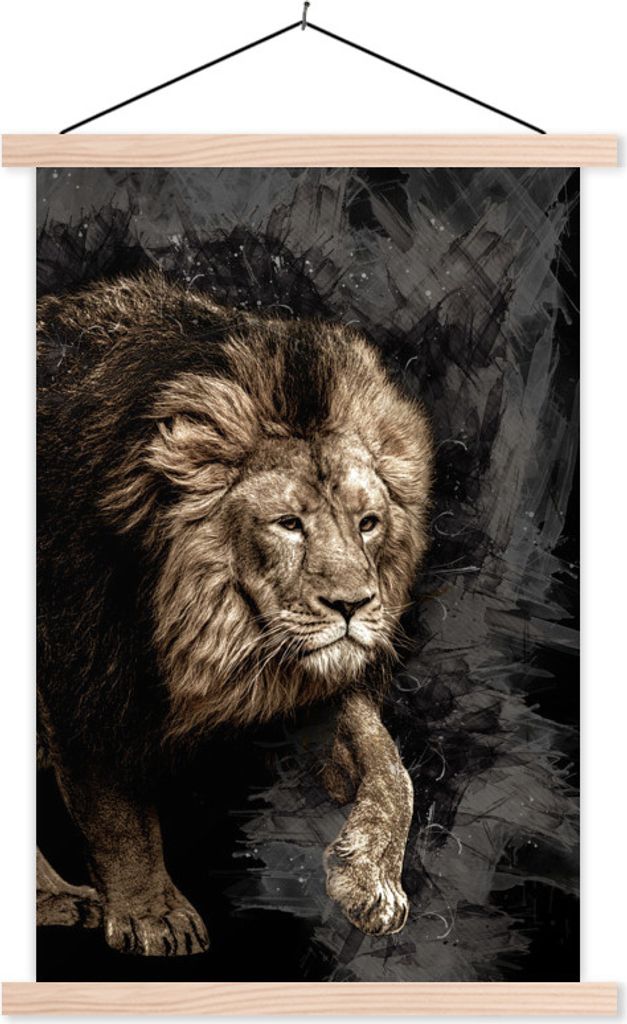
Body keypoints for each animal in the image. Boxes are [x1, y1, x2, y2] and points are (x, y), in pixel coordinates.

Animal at [36, 271, 433, 956]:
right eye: (289, 523)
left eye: (368, 522)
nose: (353, 605)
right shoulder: (81, 666)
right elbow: (114, 805)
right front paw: (152, 914)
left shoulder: (308, 679)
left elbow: (390, 768)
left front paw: (371, 879)